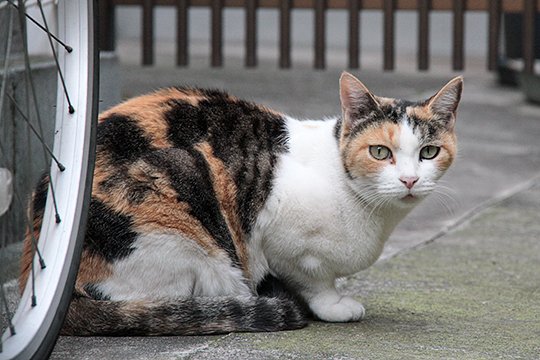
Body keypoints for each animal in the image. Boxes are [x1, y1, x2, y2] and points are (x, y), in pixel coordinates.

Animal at [19, 71, 462, 336]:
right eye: (380, 152)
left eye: (428, 152)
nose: (409, 180)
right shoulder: (279, 238)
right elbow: (314, 280)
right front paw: (334, 304)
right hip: (184, 201)